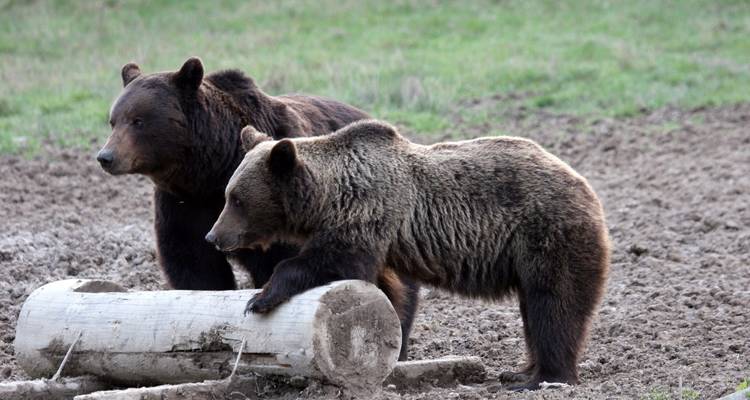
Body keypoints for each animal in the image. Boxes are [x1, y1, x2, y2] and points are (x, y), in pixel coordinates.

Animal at [96, 58, 419, 360]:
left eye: (139, 120)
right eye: (113, 120)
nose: (106, 156)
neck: (209, 170)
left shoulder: (273, 198)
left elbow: (282, 259)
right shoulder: (183, 204)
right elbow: (192, 261)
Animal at [205, 120, 611, 390]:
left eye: (236, 199)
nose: (214, 236)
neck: (328, 199)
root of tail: (583, 184)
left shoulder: (368, 212)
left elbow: (331, 261)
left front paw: (260, 297)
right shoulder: (380, 238)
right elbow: (386, 289)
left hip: (546, 234)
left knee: (553, 305)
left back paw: (542, 377)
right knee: (536, 308)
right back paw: (522, 370)